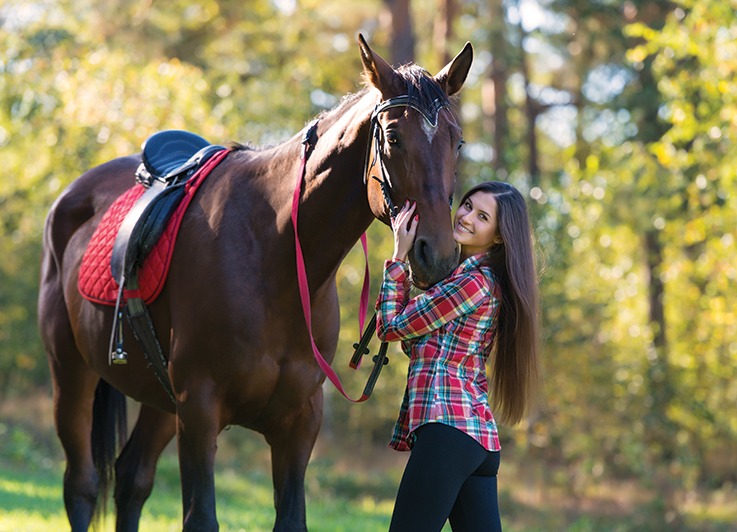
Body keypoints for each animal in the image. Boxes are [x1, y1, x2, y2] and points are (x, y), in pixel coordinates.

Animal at [38, 35, 472, 528]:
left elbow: (292, 516)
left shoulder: (299, 423)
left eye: (457, 142)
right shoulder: (200, 409)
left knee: (132, 480)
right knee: (82, 485)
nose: (438, 254)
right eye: (394, 138)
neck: (276, 256)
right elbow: (200, 517)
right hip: (72, 374)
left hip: (160, 398)